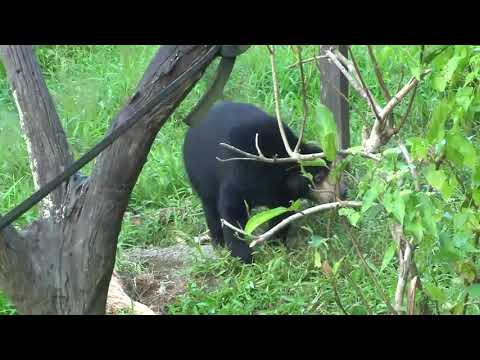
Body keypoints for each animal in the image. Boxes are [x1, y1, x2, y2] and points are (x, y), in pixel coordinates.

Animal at [182, 100, 344, 262]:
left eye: (331, 170)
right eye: (318, 177)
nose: (344, 192)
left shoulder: (282, 193)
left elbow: (281, 214)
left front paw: (275, 245)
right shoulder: (241, 174)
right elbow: (232, 211)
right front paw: (244, 257)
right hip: (200, 175)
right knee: (210, 206)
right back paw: (218, 241)